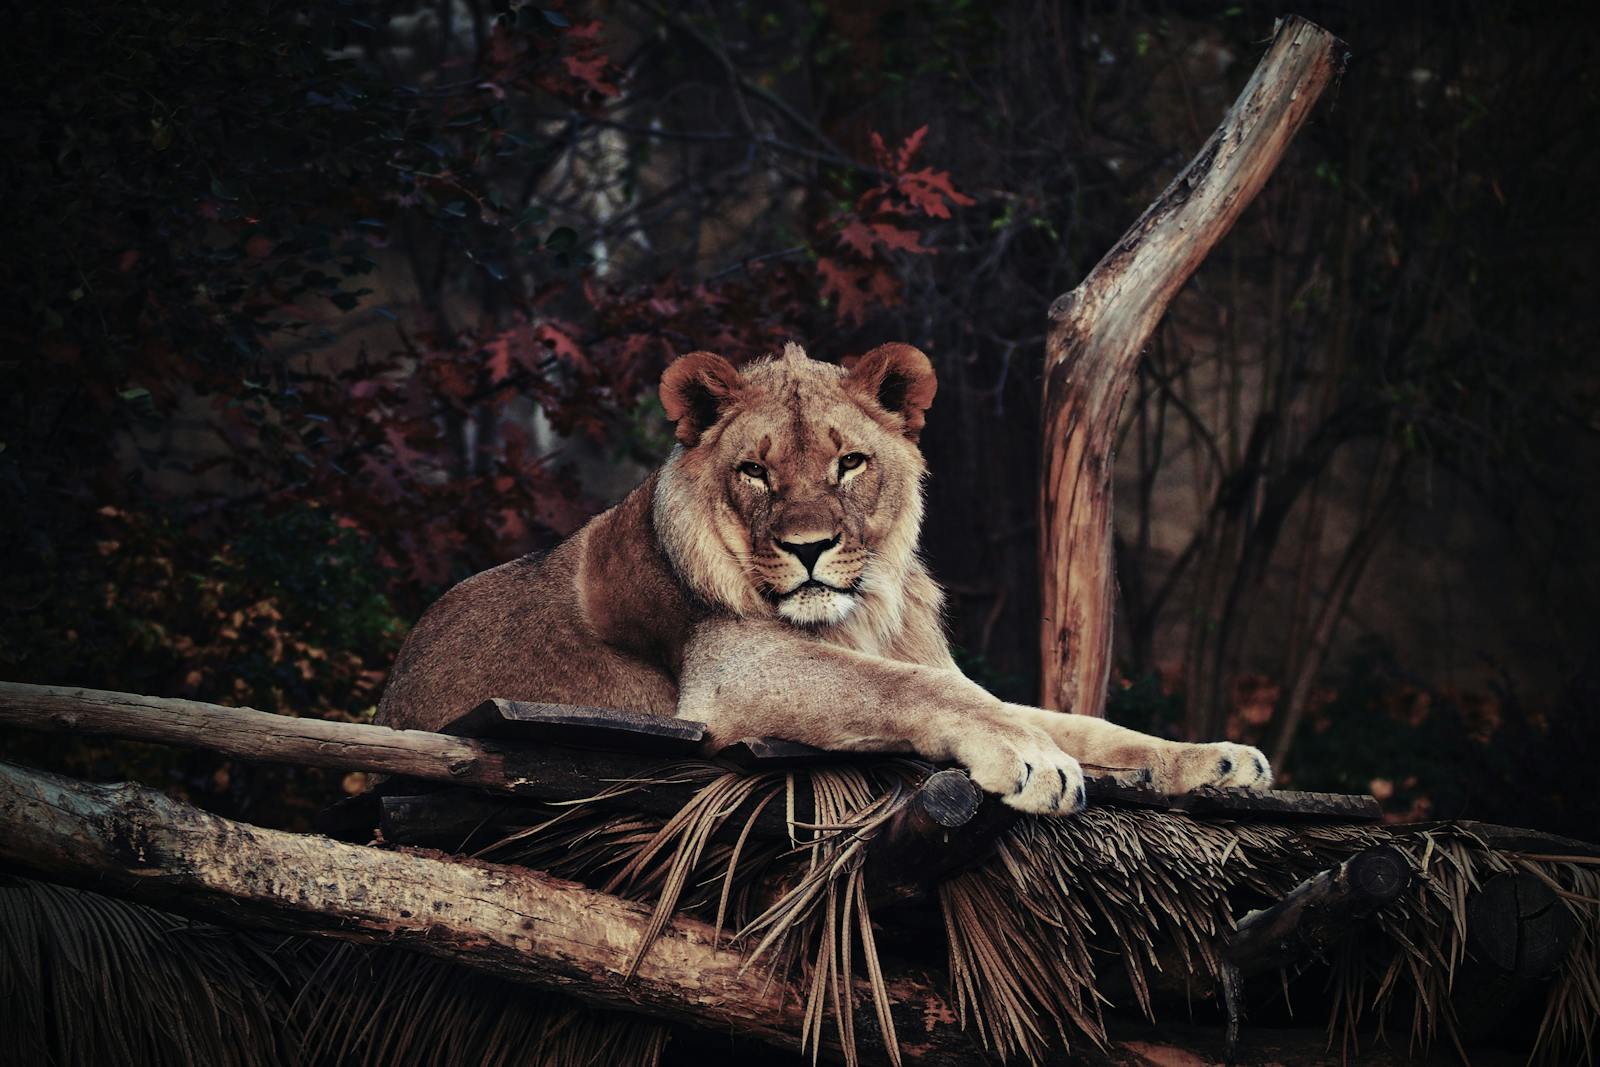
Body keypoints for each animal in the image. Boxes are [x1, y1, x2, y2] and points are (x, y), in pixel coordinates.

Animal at [376, 341, 1270, 813]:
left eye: (849, 463)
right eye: (755, 472)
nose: (808, 547)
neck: (860, 614)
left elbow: (1078, 721)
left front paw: (1215, 759)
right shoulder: (732, 674)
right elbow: (915, 691)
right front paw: (1029, 756)